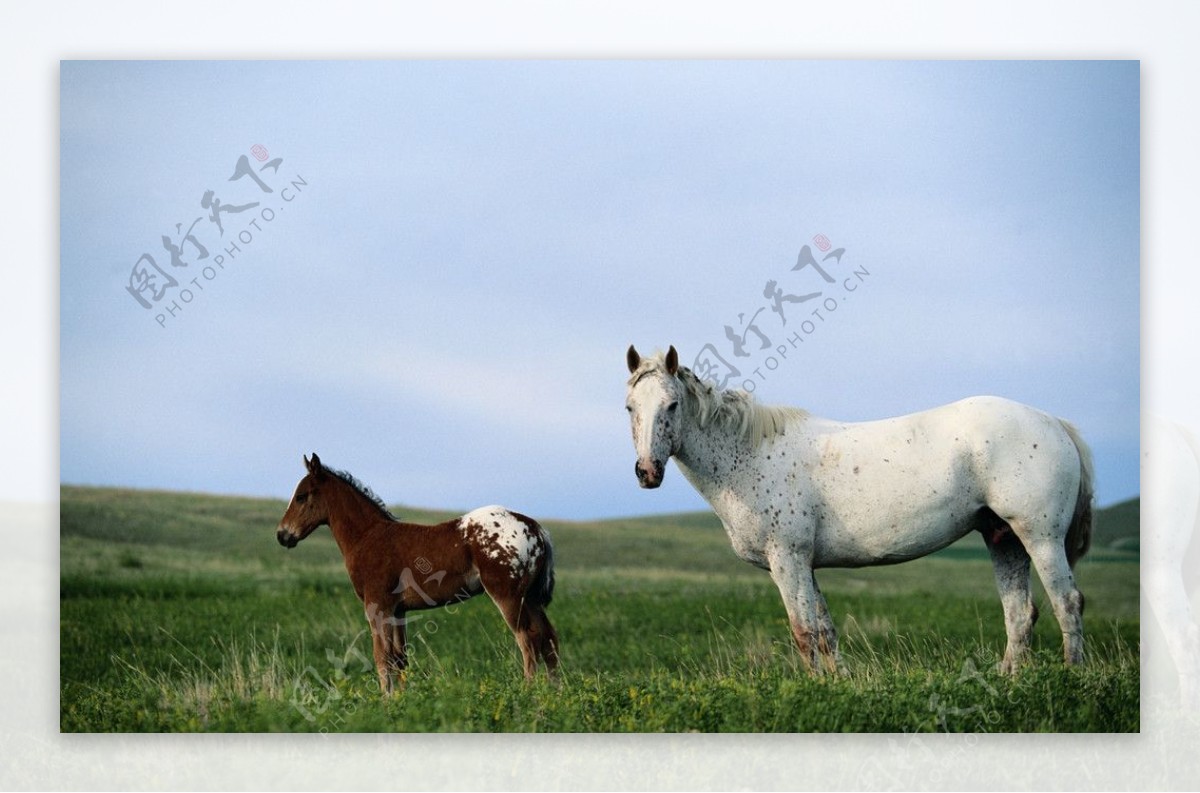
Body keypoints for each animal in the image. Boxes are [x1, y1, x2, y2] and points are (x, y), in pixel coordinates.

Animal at [628, 343, 1099, 671]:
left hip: (1040, 537)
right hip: (1004, 538)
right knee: (1020, 614)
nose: (647, 472)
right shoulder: (807, 565)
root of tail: (1055, 423)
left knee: (1067, 602)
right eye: (631, 406)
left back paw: (1071, 676)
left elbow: (804, 632)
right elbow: (825, 632)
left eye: (672, 404)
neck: (750, 455)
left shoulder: (788, 561)